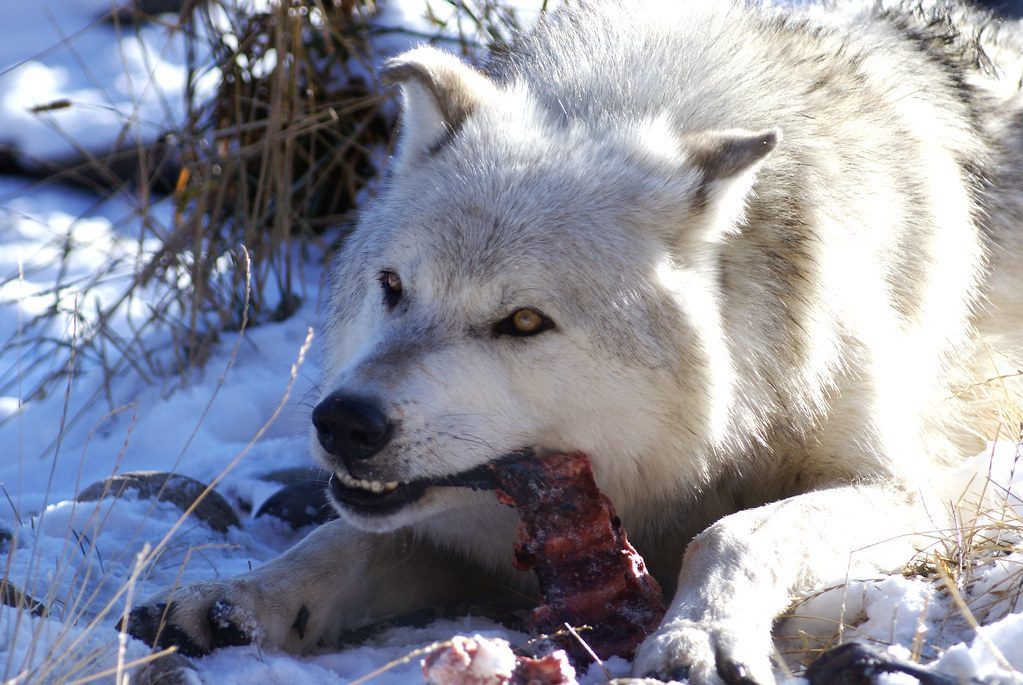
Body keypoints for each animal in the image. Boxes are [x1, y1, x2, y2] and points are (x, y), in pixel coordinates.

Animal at [127, 1, 1023, 682]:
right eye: (393, 287)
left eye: (524, 322)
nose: (344, 422)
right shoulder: (461, 525)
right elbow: (339, 537)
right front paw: (240, 600)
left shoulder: (914, 490)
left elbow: (735, 530)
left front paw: (698, 631)